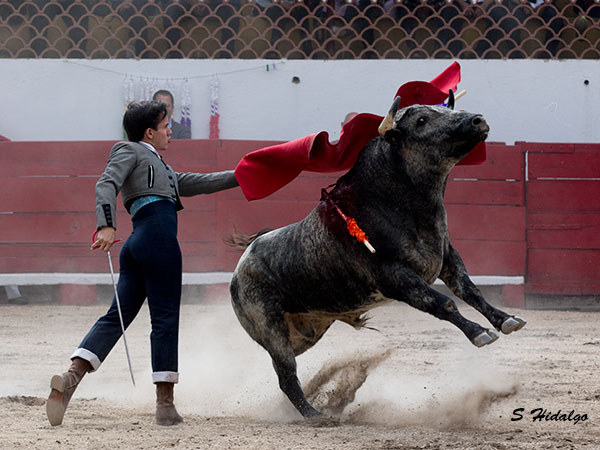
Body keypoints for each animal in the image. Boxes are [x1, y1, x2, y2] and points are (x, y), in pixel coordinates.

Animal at [229, 97, 524, 418]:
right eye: (421, 120)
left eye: (444, 108)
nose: (477, 120)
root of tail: (241, 265)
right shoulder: (395, 276)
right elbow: (442, 302)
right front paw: (479, 333)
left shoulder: (447, 258)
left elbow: (470, 291)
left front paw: (506, 320)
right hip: (272, 329)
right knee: (285, 373)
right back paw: (314, 415)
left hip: (307, 332)